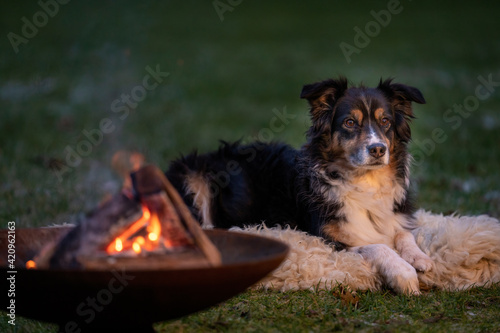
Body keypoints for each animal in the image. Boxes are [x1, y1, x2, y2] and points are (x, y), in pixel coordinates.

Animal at [166, 77, 432, 294]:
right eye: (349, 122)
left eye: (385, 121)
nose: (378, 149)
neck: (363, 181)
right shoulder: (329, 239)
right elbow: (378, 246)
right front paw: (404, 274)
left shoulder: (395, 217)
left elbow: (403, 234)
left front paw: (419, 257)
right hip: (193, 175)